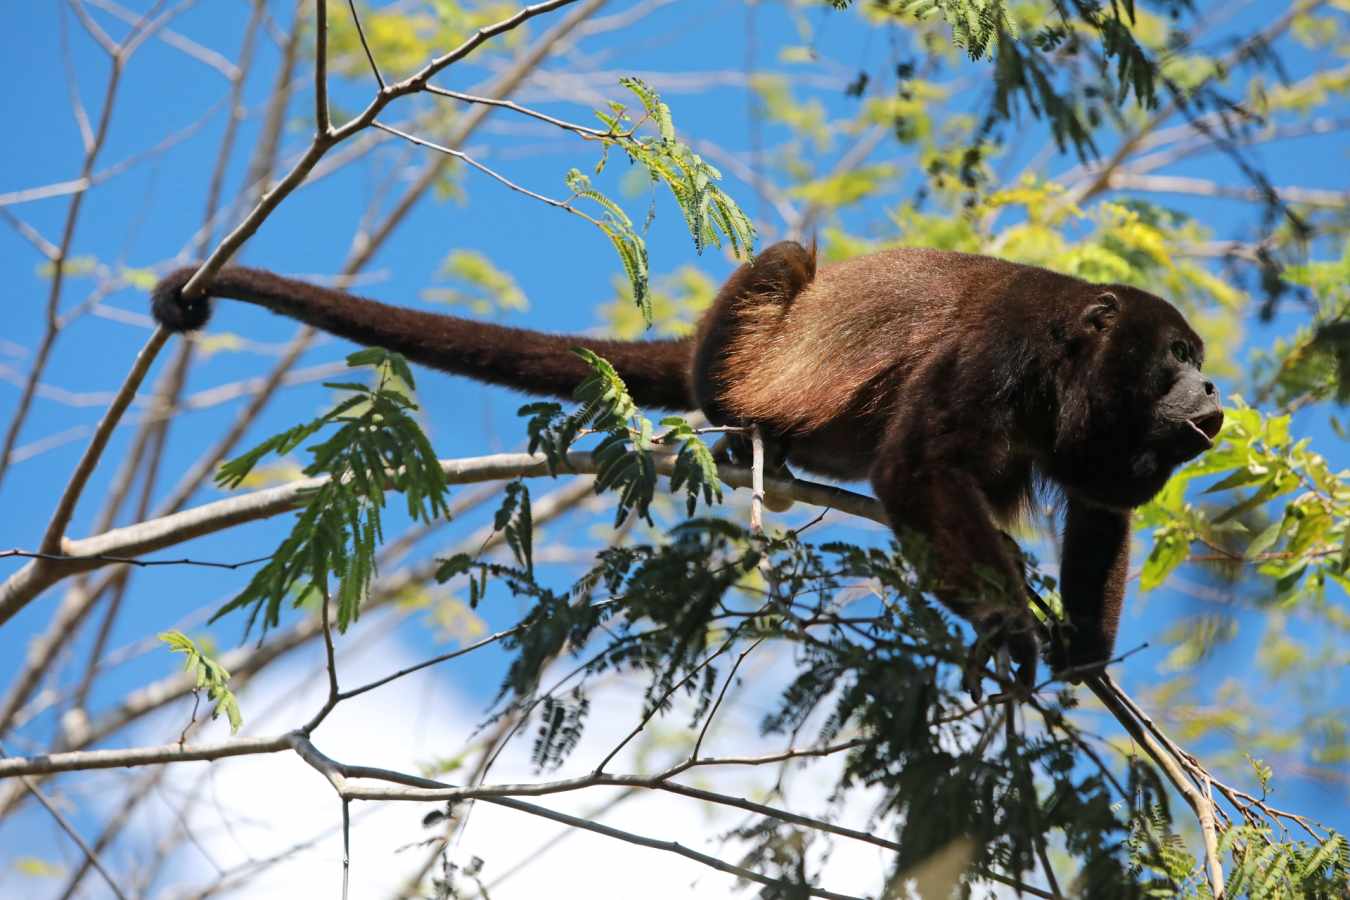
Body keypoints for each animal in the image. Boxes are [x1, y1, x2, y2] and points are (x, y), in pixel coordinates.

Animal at [151, 241, 1223, 696]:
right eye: (1176, 356)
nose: (1214, 390)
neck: (1066, 350)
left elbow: (1100, 501)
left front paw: (1084, 646)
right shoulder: (994, 351)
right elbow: (918, 470)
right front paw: (1007, 627)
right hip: (741, 337)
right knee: (786, 262)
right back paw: (747, 426)